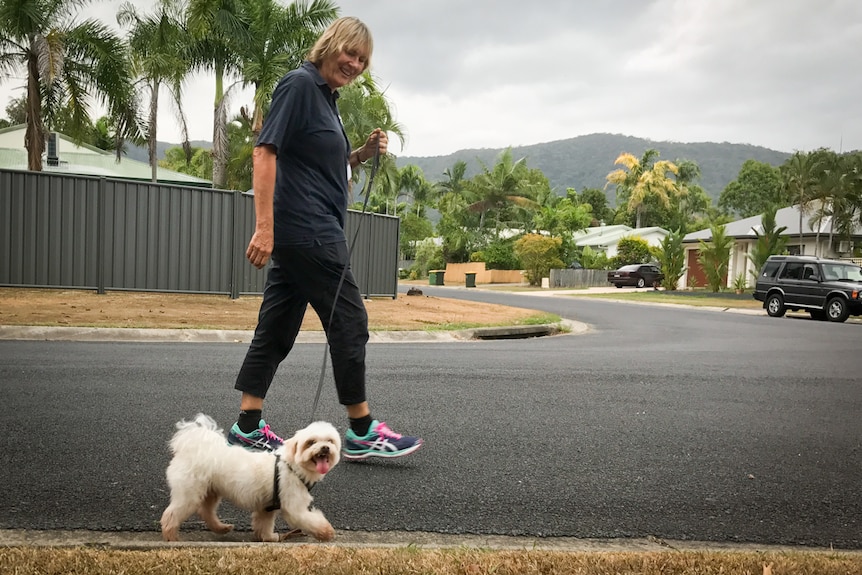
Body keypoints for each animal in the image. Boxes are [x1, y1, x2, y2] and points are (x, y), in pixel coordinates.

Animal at [161, 414, 340, 544]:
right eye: (311, 442)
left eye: (330, 441)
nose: (325, 448)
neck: (292, 465)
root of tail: (192, 447)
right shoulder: (293, 507)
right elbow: (309, 520)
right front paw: (327, 532)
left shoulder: (267, 507)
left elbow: (264, 525)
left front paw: (269, 538)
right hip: (189, 493)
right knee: (171, 515)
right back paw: (172, 538)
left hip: (211, 490)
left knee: (206, 511)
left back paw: (222, 528)